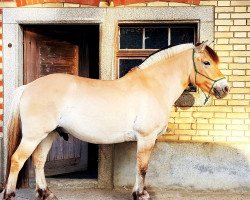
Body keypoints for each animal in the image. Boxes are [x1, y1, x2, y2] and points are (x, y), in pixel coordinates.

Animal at [2, 41, 229, 199]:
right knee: (17, 159)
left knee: (38, 160)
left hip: (48, 134)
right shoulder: (146, 137)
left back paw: (45, 193)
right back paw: (10, 194)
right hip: (34, 135)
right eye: (206, 62)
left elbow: (140, 167)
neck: (153, 86)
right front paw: (141, 194)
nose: (224, 88)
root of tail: (28, 87)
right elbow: (142, 167)